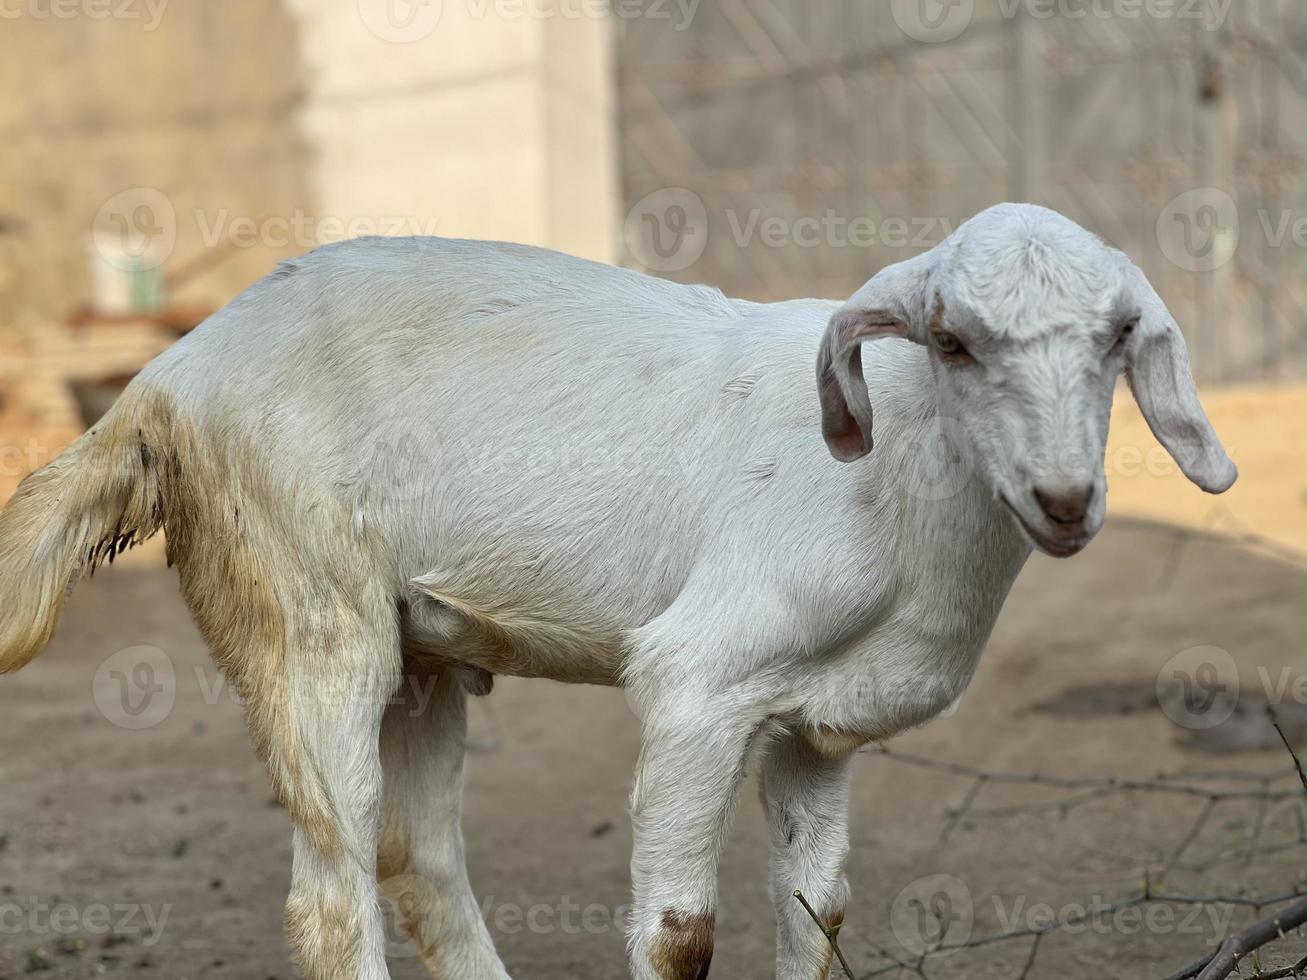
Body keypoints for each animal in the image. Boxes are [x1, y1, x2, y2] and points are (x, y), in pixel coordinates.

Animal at [0, 203, 1233, 977]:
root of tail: (160, 385)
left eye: (1117, 336)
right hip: (306, 614)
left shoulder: (814, 730)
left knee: (420, 861)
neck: (896, 471)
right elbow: (680, 933)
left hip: (419, 657)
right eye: (953, 340)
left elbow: (818, 911)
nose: (1064, 497)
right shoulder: (697, 684)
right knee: (329, 896)